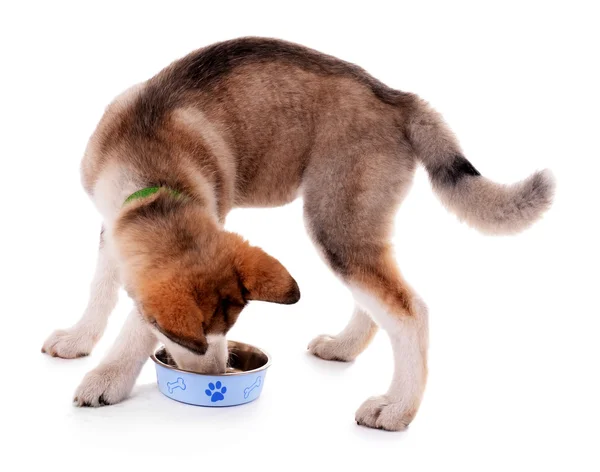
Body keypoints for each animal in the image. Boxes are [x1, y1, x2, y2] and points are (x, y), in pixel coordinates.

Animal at [41, 37, 552, 432]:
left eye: (224, 332)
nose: (219, 376)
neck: (152, 169)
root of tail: (396, 97)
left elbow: (134, 324)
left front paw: (107, 378)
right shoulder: (112, 224)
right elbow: (100, 289)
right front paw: (80, 339)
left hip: (334, 220)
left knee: (409, 311)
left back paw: (396, 408)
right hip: (351, 223)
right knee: (375, 299)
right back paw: (344, 347)